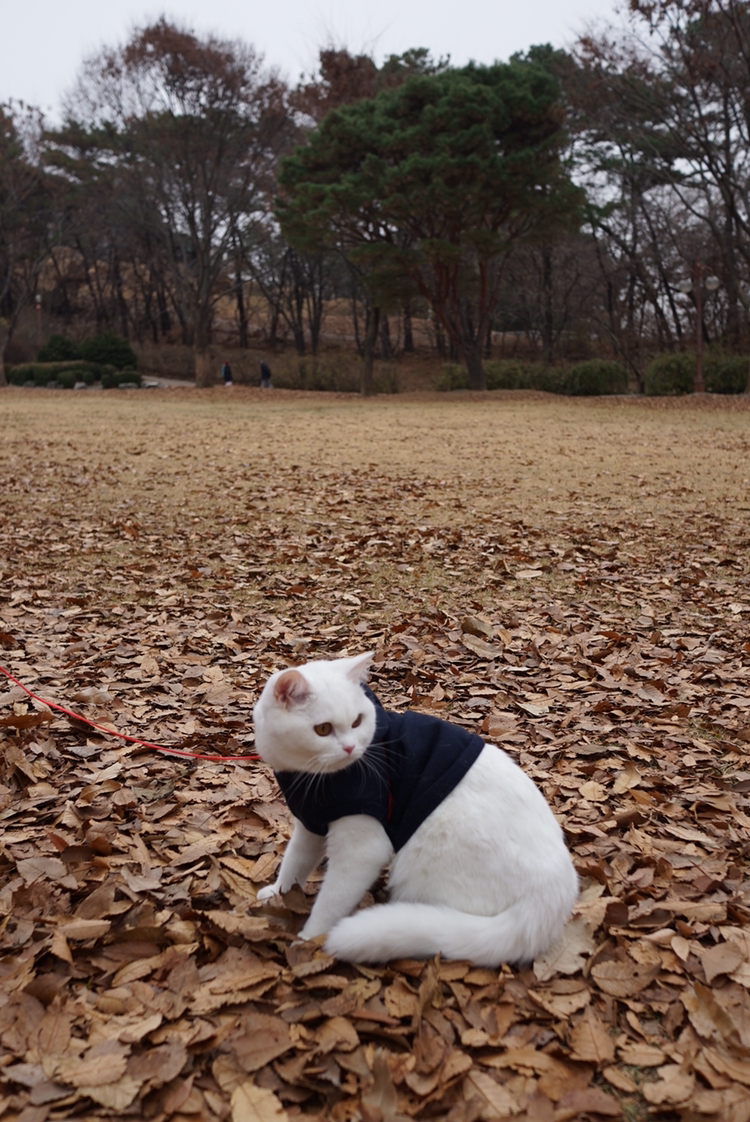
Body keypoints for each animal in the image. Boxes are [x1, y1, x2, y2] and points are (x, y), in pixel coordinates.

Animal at [253, 651, 578, 967]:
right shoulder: (310, 824)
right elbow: (294, 864)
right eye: (322, 729)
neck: (304, 774)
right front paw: (278, 893)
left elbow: (330, 902)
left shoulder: (363, 848)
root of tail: (551, 901)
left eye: (357, 722)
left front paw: (307, 941)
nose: (350, 748)